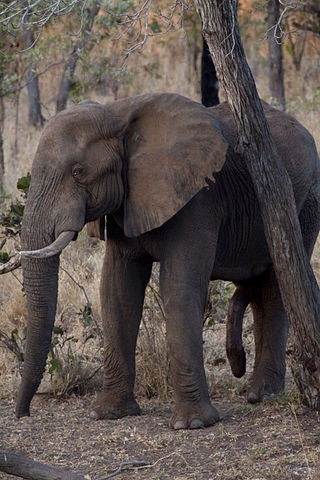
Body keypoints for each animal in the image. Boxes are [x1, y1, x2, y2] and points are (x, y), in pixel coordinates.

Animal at [7, 92, 320, 430]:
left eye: (78, 172)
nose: (23, 413)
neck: (116, 114)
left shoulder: (198, 196)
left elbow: (179, 287)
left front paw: (192, 425)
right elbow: (117, 290)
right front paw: (107, 414)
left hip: (303, 204)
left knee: (276, 288)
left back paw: (261, 395)